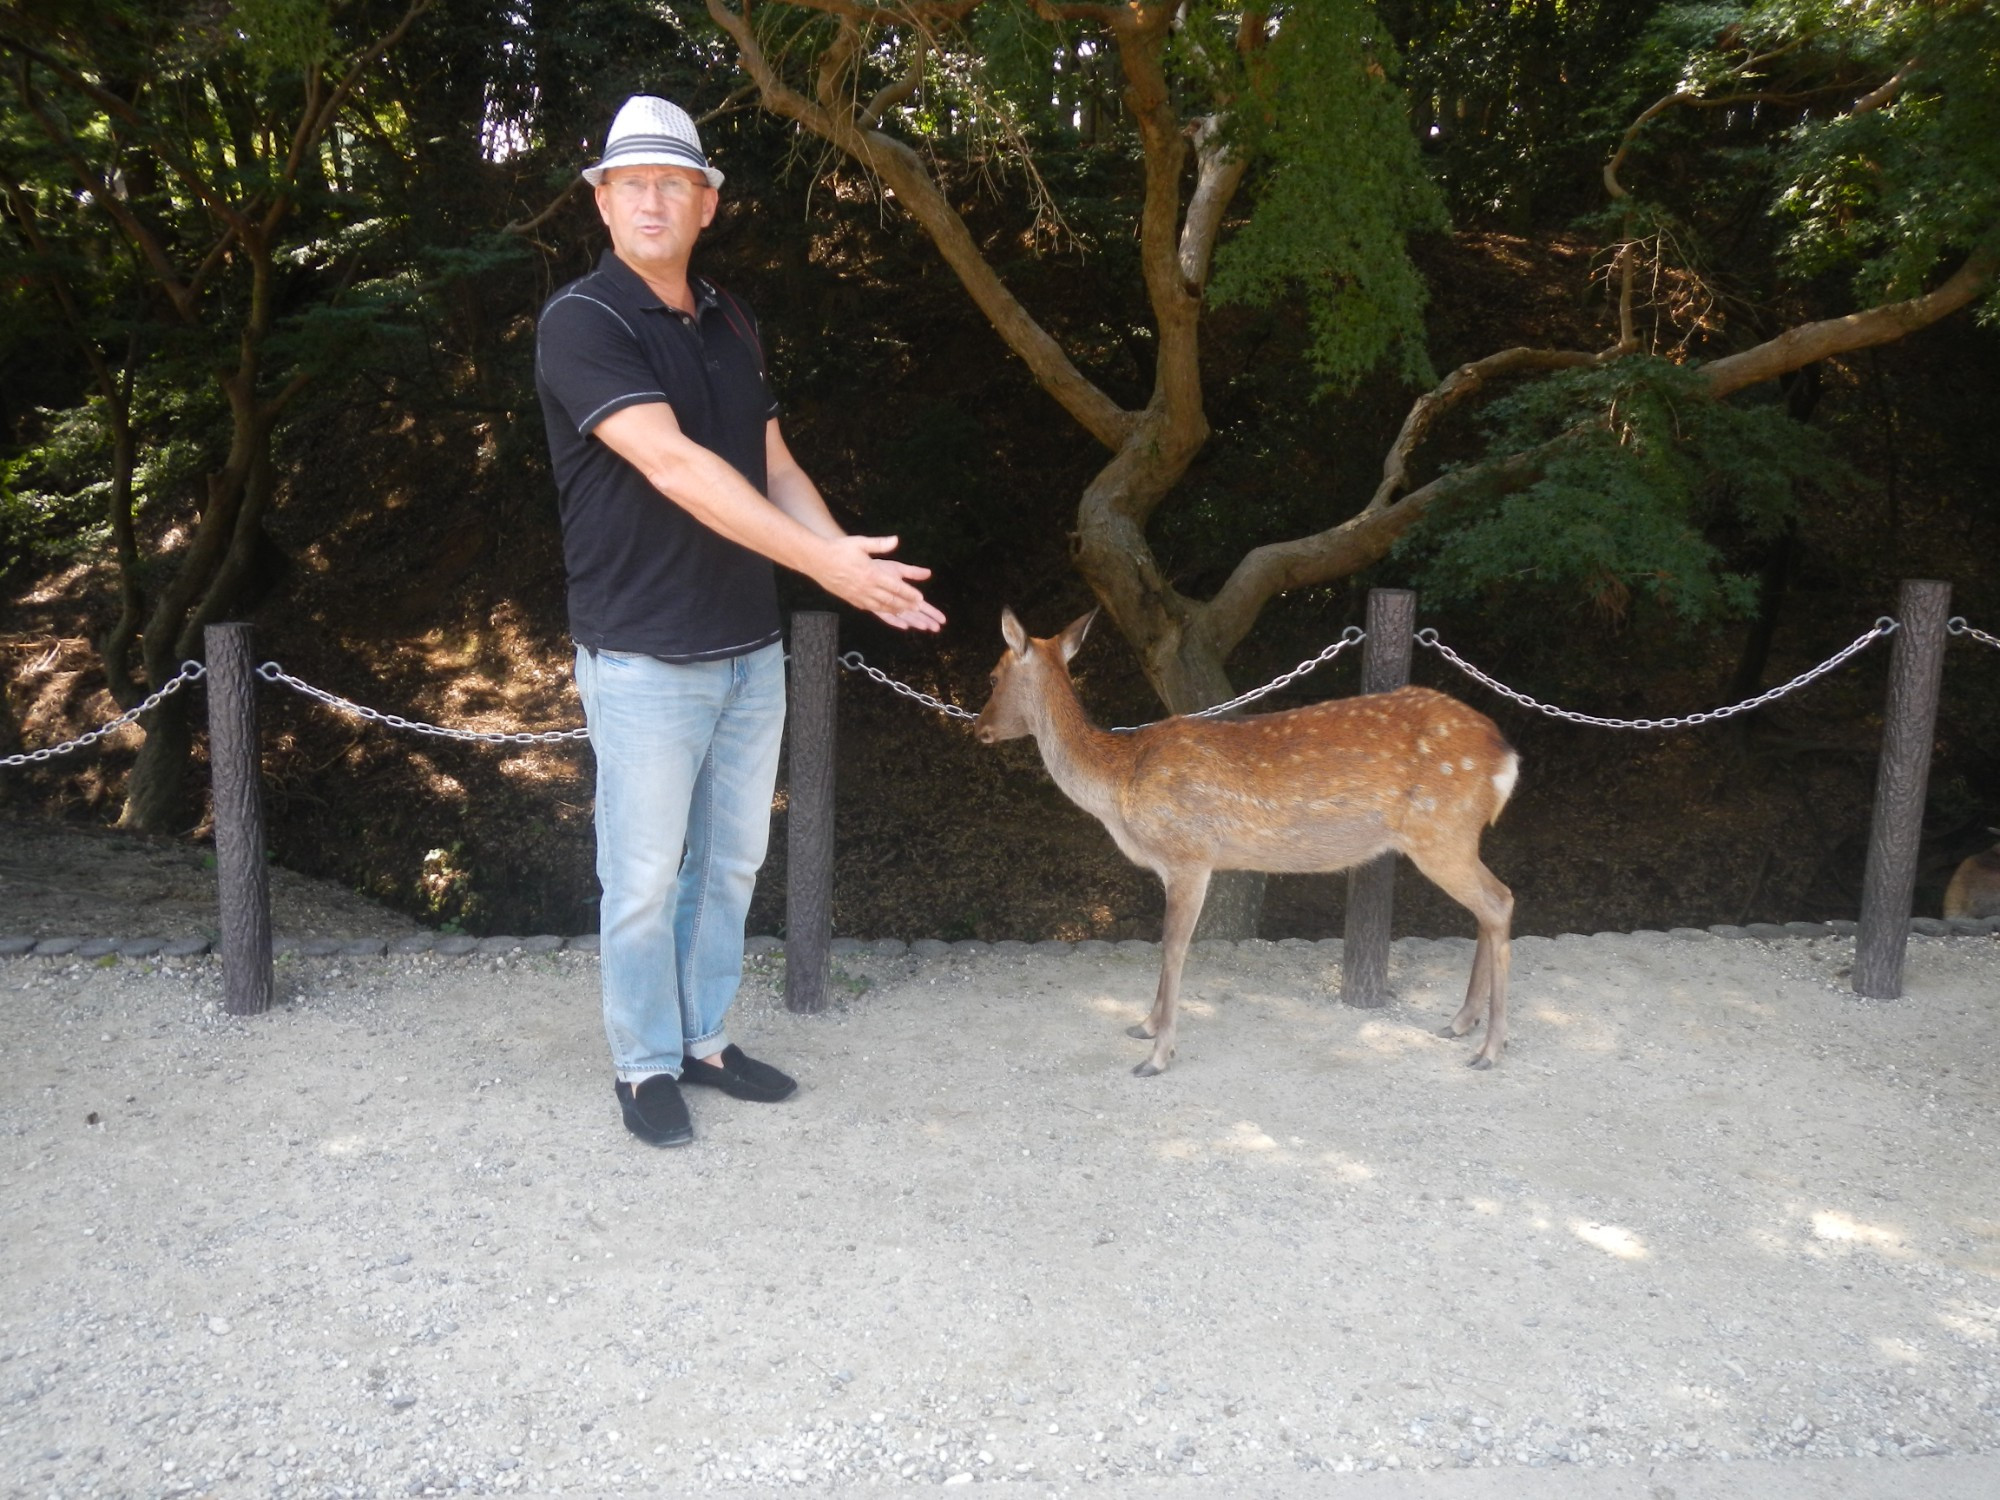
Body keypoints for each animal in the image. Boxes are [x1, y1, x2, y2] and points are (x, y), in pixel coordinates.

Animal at [968, 612, 1512, 1080]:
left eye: (993, 677)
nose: (978, 728)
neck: (1119, 784)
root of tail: (1506, 759)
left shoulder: (1191, 854)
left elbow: (1173, 946)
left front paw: (1157, 1054)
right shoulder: (1172, 866)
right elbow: (1168, 945)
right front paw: (1144, 1025)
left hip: (1441, 831)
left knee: (1499, 901)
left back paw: (1489, 1048)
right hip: (1455, 835)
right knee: (1490, 905)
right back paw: (1460, 1023)